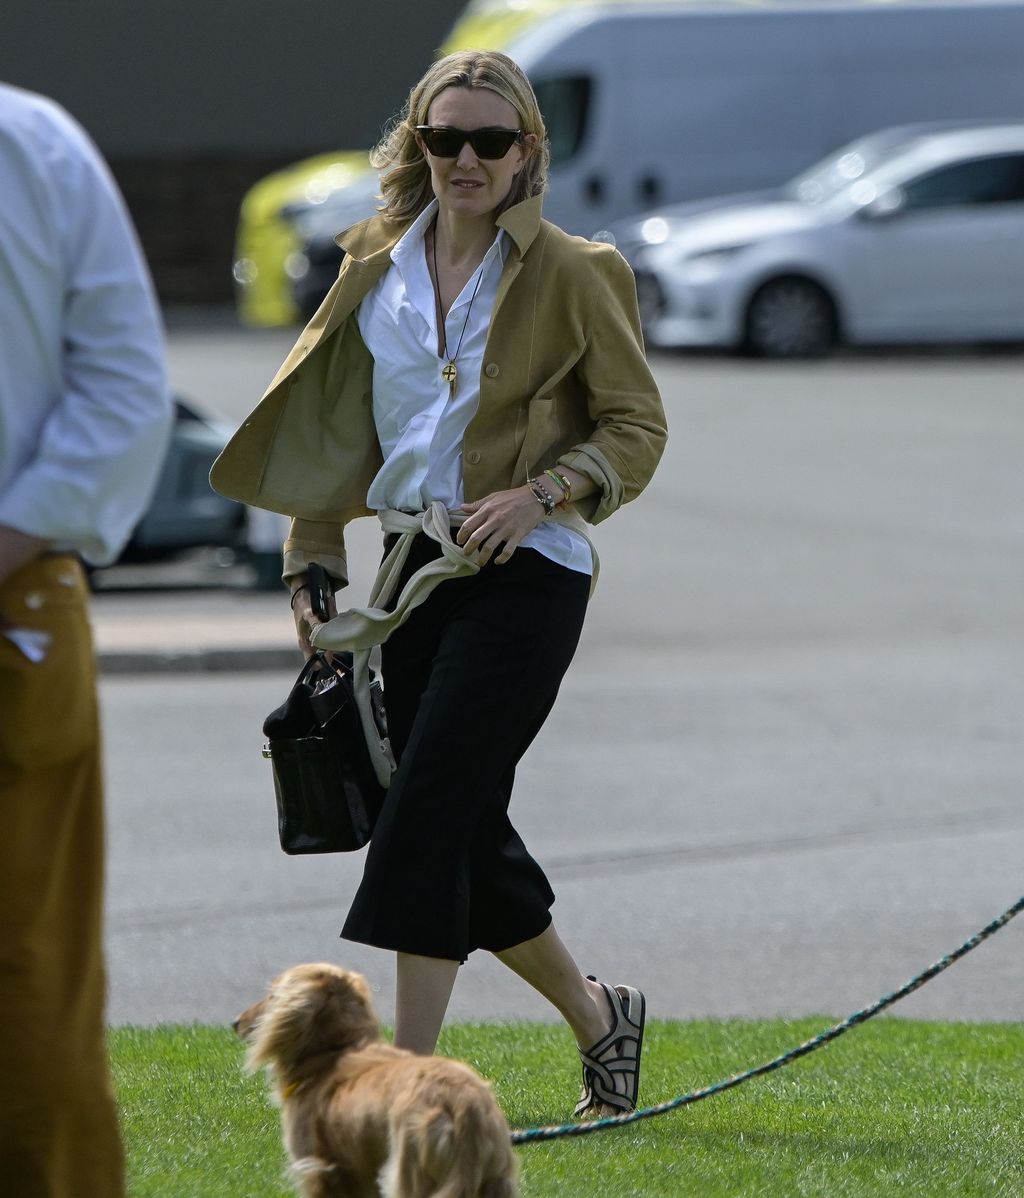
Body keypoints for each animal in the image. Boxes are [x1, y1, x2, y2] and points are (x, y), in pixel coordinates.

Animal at [234, 963, 517, 1198]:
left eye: (273, 995)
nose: (235, 1022)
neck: (334, 1052)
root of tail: (465, 1107)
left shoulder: (319, 1172)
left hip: (407, 1172)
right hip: (496, 1181)